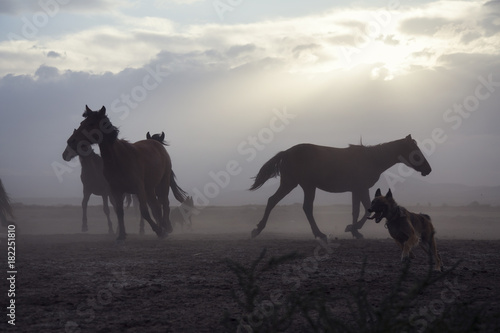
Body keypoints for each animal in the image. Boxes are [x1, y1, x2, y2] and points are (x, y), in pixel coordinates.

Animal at [63, 106, 187, 239]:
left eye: (91, 123)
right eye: (82, 123)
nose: (71, 141)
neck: (118, 159)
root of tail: (157, 144)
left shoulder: (138, 189)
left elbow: (144, 211)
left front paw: (158, 231)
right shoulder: (115, 191)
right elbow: (119, 211)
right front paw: (121, 234)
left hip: (162, 184)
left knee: (164, 204)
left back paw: (165, 227)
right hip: (149, 188)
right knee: (157, 206)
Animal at [252, 134, 432, 240]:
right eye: (415, 149)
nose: (428, 169)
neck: (372, 159)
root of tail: (286, 152)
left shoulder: (356, 190)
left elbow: (356, 210)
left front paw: (354, 231)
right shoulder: (361, 188)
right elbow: (367, 208)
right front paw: (353, 228)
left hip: (297, 185)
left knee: (276, 201)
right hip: (299, 185)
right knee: (299, 206)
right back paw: (318, 233)